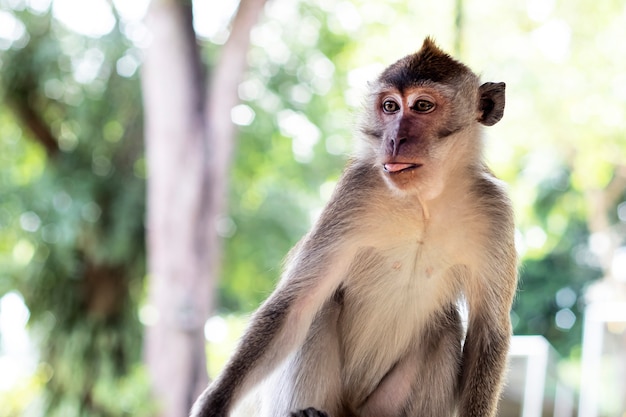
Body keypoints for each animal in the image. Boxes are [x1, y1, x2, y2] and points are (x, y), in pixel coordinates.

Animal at [190, 38, 516, 416]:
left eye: (422, 106)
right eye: (390, 107)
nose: (394, 139)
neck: (423, 200)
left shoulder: (495, 212)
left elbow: (487, 332)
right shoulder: (355, 191)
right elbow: (295, 304)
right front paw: (214, 402)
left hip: (382, 405)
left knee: (446, 328)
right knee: (319, 307)